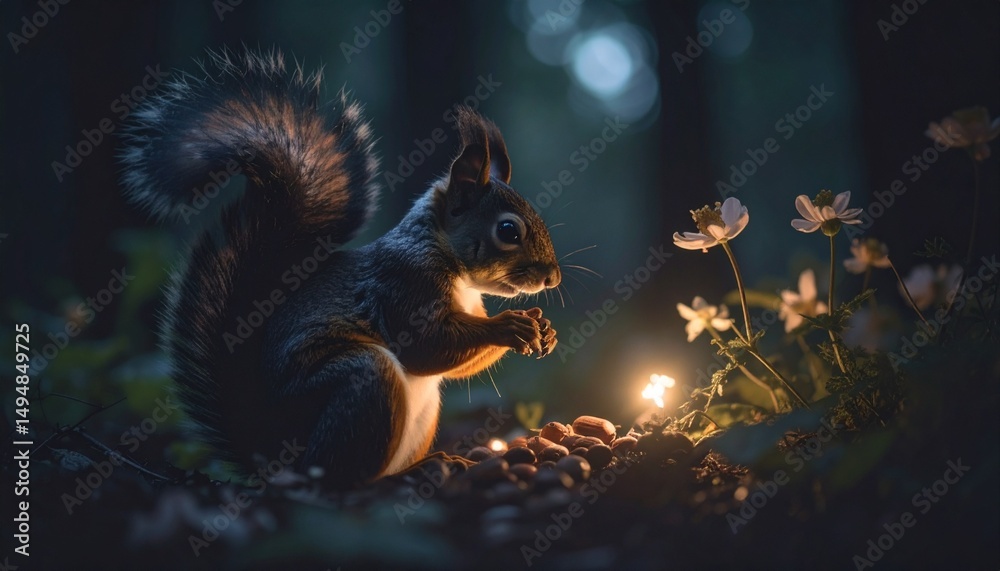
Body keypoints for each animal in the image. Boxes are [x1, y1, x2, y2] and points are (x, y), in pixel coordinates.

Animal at [119, 49, 561, 488]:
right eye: (508, 230)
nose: (552, 277)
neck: (449, 263)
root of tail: (273, 458)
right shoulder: (404, 284)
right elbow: (425, 346)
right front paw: (510, 325)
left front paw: (544, 330)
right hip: (363, 382)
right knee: (342, 479)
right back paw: (409, 473)